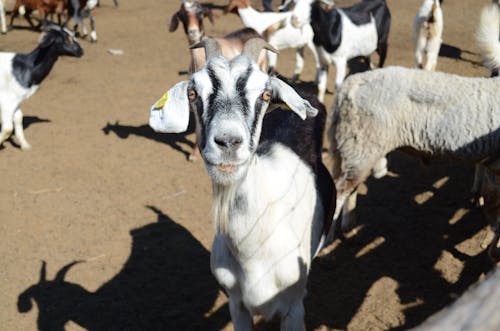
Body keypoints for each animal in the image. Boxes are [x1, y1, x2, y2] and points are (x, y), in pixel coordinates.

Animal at [149, 38, 336, 331]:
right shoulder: (237, 305)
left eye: (265, 95)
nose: (227, 142)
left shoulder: (294, 309)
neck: (253, 253)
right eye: (193, 93)